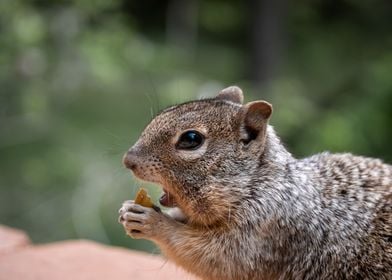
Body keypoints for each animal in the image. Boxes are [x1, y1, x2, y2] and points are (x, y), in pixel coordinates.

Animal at [118, 86, 390, 280]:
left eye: (191, 139)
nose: (128, 160)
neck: (256, 185)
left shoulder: (266, 231)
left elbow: (216, 258)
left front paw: (154, 222)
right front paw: (128, 209)